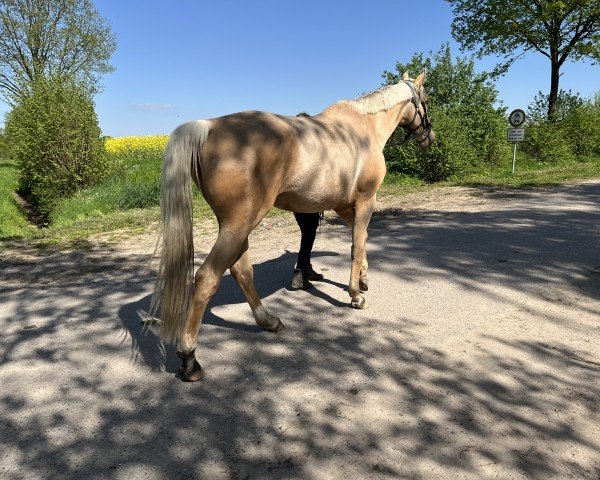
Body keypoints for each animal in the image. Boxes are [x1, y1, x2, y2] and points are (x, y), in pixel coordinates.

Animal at [152, 71, 434, 380]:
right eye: (426, 100)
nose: (429, 136)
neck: (363, 128)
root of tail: (208, 126)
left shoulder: (344, 206)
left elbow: (362, 239)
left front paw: (363, 278)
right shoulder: (365, 200)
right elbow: (357, 245)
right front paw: (355, 295)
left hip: (237, 226)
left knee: (241, 271)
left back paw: (268, 320)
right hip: (239, 224)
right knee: (206, 278)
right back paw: (190, 358)